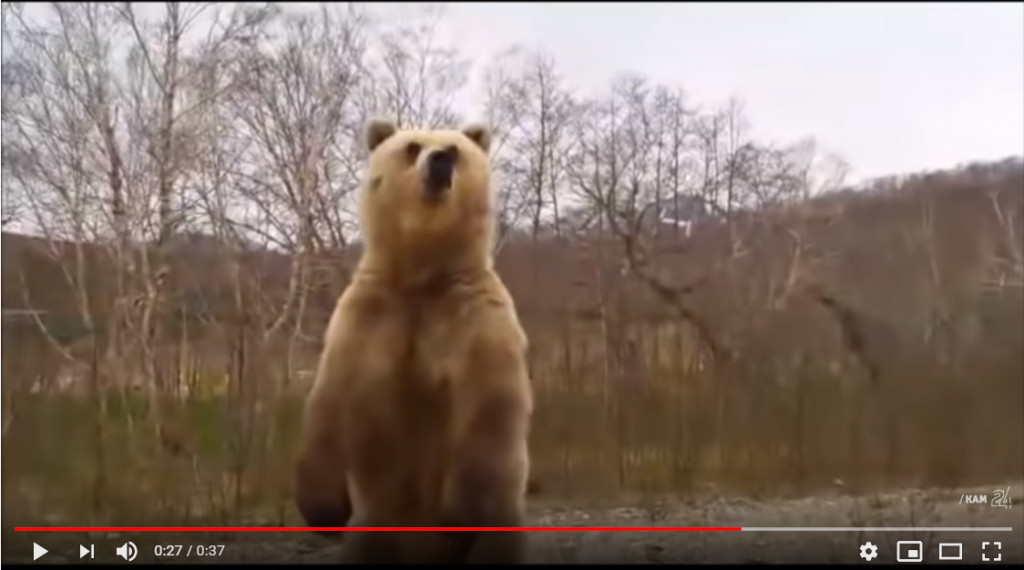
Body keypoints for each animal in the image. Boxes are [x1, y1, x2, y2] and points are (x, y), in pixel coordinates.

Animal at [292, 117, 532, 560]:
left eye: (455, 149)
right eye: (412, 146)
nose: (439, 162)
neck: (422, 275)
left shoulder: (476, 322)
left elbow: (490, 405)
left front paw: (459, 517)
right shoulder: (367, 318)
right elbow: (329, 402)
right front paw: (324, 511)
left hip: (501, 530)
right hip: (374, 530)